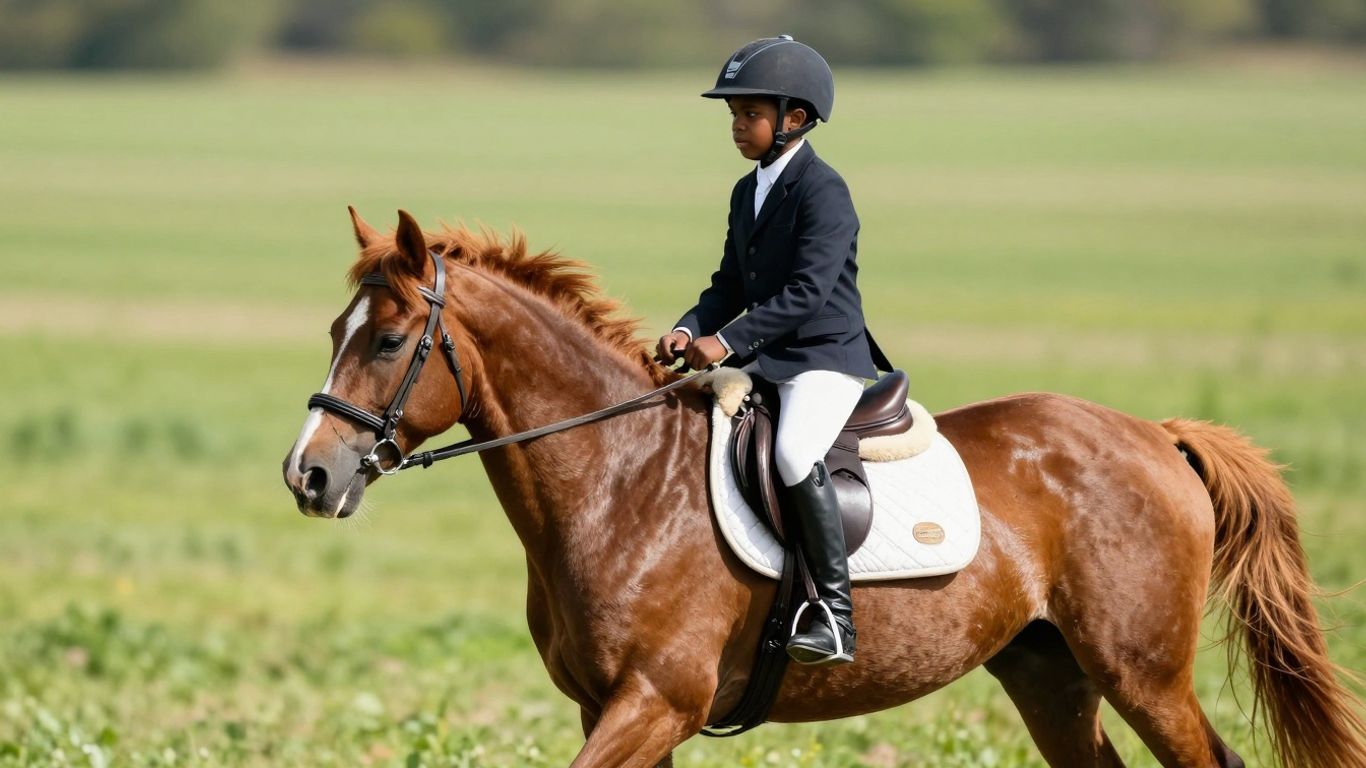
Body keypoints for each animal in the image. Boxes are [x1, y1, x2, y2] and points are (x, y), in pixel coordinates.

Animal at [282, 209, 1365, 768]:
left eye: (388, 341)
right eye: (336, 332)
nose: (308, 475)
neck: (617, 484)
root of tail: (1155, 435)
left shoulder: (654, 703)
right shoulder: (612, 710)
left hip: (1143, 672)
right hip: (1049, 671)